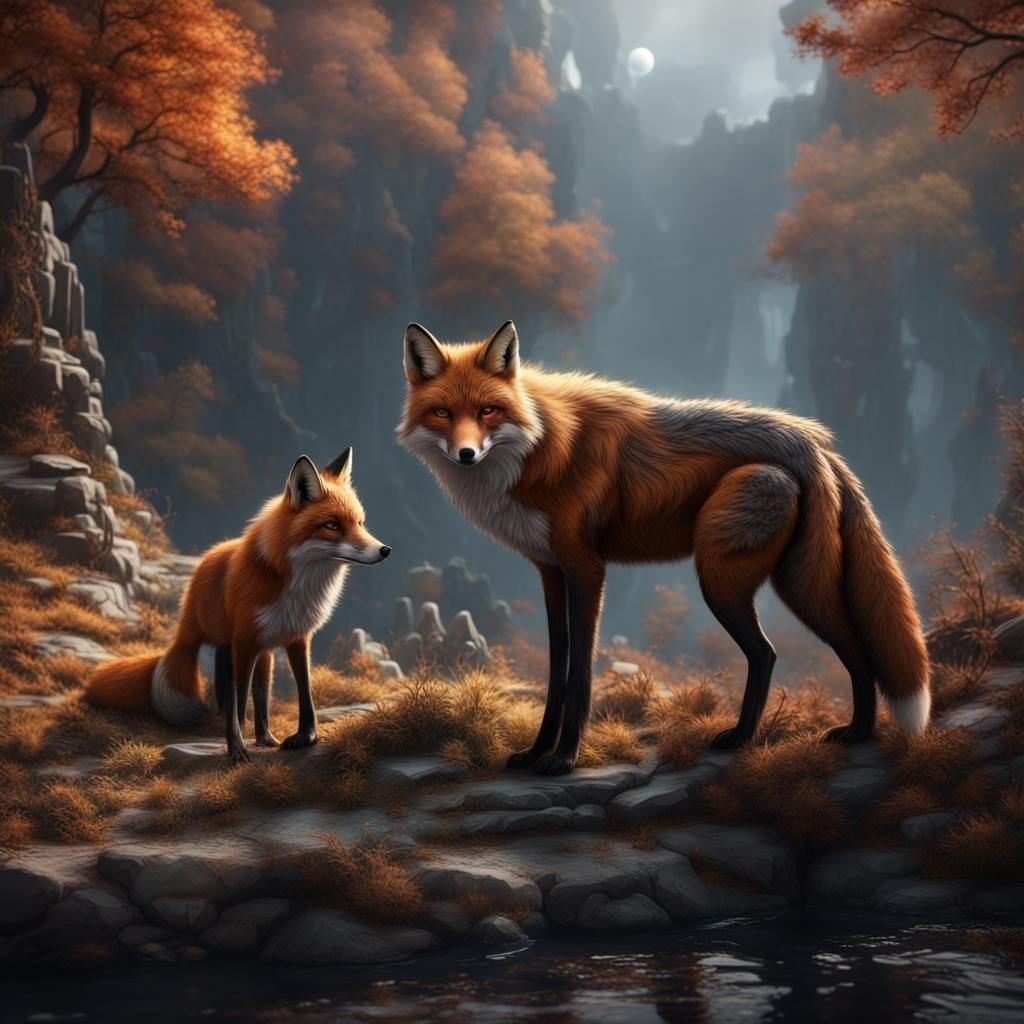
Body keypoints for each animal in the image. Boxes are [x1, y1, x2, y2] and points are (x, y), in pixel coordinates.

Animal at [85, 450, 391, 761]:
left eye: (360, 523)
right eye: (332, 525)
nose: (385, 550)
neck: (294, 588)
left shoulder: (296, 637)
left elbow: (303, 689)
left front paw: (306, 737)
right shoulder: (244, 642)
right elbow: (240, 700)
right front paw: (237, 750)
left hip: (260, 650)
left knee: (258, 693)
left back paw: (265, 737)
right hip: (231, 643)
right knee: (232, 692)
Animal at [399, 320, 931, 776]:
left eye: (488, 411)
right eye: (443, 413)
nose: (466, 454)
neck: (543, 447)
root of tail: (810, 439)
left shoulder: (587, 568)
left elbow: (580, 674)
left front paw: (564, 760)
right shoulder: (550, 571)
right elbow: (555, 672)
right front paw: (536, 752)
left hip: (735, 580)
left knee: (787, 652)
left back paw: (778, 736)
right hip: (782, 579)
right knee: (819, 651)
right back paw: (839, 734)